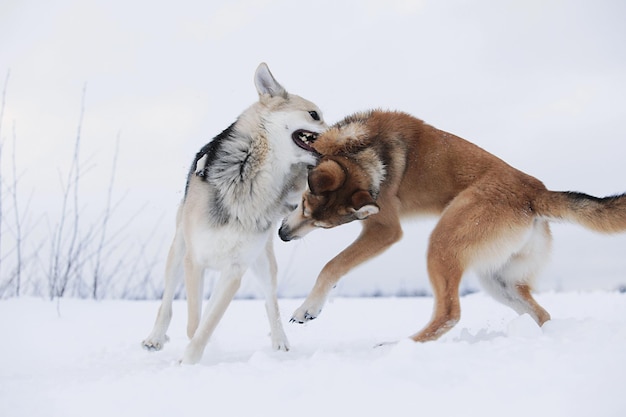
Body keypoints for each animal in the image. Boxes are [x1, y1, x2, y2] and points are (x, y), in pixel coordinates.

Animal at [278, 109, 624, 340]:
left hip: (443, 243)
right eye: (304, 205)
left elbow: (333, 265)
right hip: (498, 280)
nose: (282, 236)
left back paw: (399, 346)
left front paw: (308, 308)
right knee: (541, 313)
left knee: (449, 314)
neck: (365, 151)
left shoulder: (385, 230)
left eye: (321, 223)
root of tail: (536, 191)